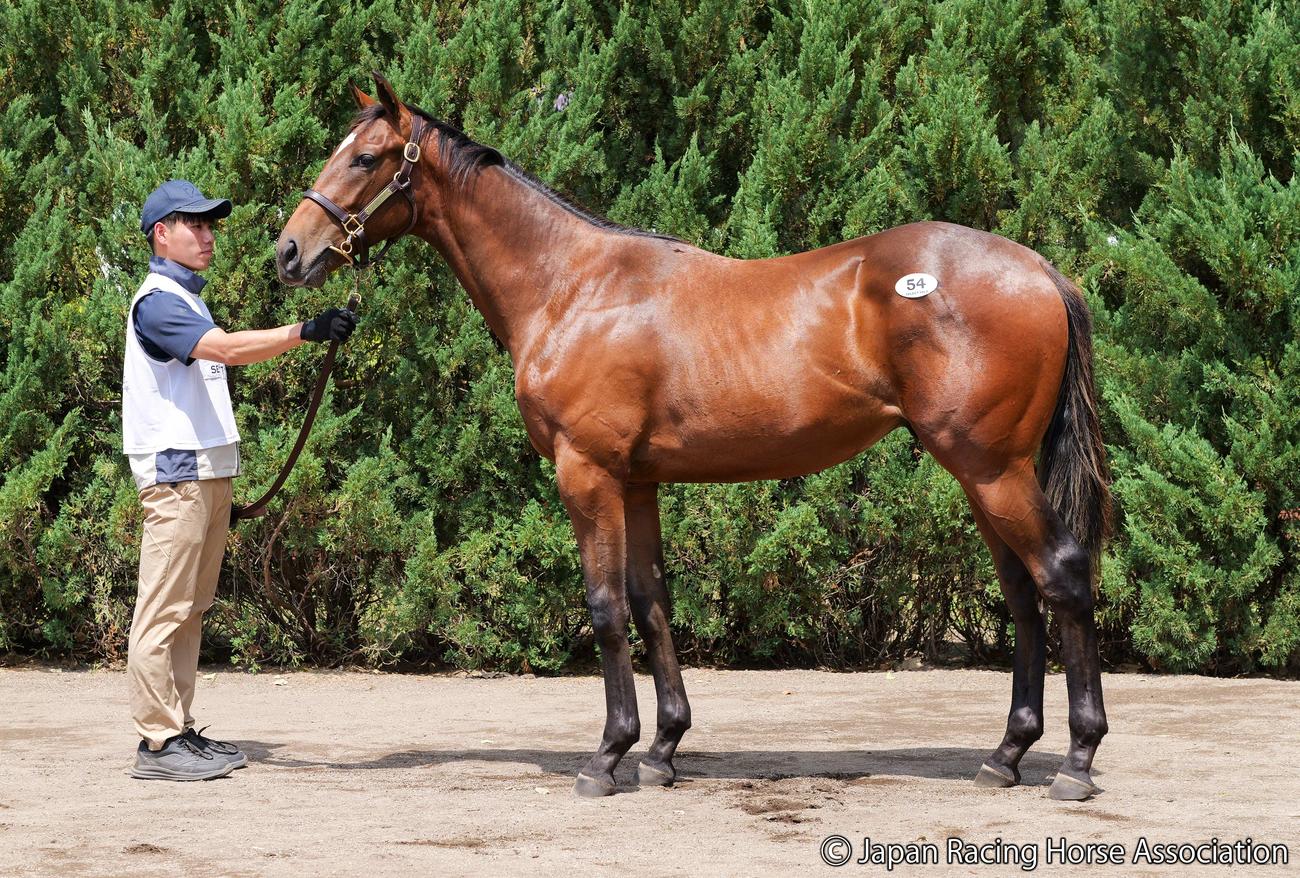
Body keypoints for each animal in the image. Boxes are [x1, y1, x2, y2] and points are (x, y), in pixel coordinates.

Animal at [276, 73, 1112, 801]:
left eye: (365, 157)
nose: (289, 252)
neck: (570, 287)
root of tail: (1043, 272)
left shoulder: (587, 474)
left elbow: (606, 606)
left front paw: (607, 757)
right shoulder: (638, 479)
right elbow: (652, 603)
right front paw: (662, 750)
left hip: (992, 468)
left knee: (1064, 575)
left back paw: (1076, 760)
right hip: (983, 474)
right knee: (1023, 594)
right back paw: (1006, 755)